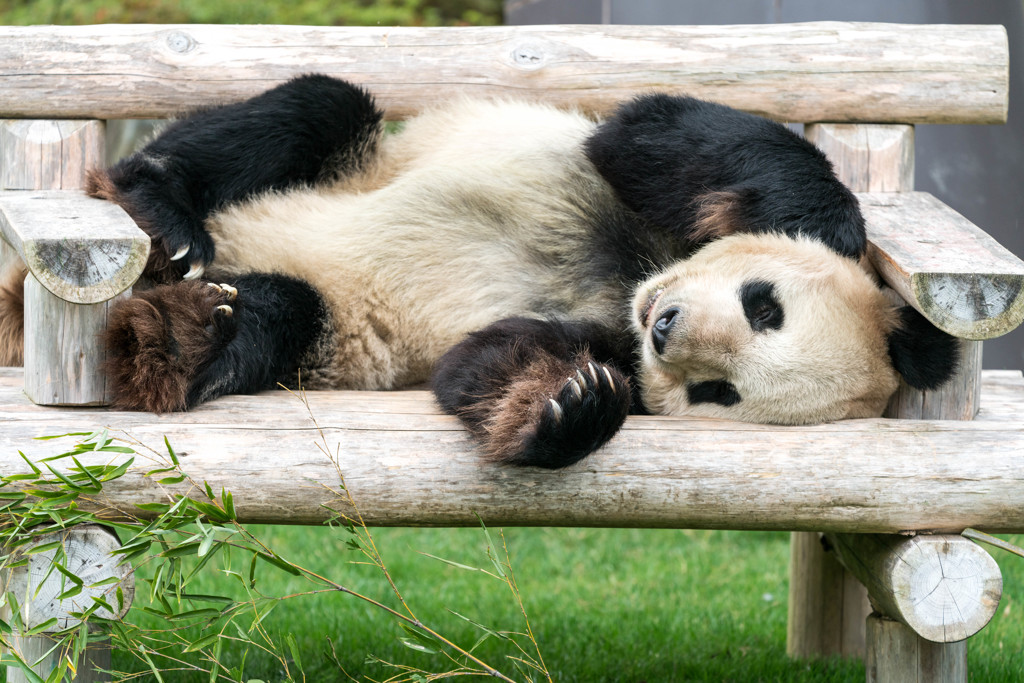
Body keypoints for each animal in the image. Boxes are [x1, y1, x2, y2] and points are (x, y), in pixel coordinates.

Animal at [2, 74, 958, 471]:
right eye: (764, 306)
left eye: (718, 393)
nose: (666, 328)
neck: (631, 275)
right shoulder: (642, 168)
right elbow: (651, 131)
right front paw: (824, 223)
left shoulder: (595, 331)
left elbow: (484, 365)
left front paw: (568, 408)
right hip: (345, 163)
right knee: (318, 107)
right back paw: (160, 210)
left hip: (322, 328)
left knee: (279, 313)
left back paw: (182, 334)